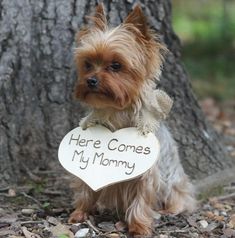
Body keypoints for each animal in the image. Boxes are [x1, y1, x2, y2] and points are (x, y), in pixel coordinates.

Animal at [69, 3, 196, 236]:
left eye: (116, 65)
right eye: (88, 64)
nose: (91, 80)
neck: (115, 111)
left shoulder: (146, 172)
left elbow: (141, 198)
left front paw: (139, 227)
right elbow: (85, 188)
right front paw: (80, 212)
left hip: (174, 181)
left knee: (182, 197)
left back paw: (170, 210)